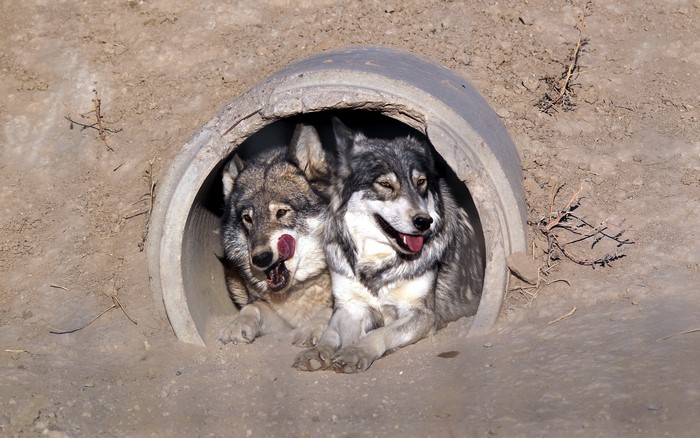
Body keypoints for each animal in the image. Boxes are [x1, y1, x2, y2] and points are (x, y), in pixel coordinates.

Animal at [219, 124, 333, 347]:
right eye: (248, 218)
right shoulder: (278, 321)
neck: (300, 289)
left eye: (281, 212)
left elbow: (330, 310)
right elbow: (252, 308)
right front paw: (238, 324)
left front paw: (311, 328)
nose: (261, 258)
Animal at [293, 117, 484, 373]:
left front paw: (355, 351)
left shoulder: (421, 314)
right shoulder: (350, 306)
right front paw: (317, 351)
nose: (424, 221)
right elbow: (331, 333)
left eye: (421, 182)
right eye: (385, 184)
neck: (377, 263)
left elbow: (381, 332)